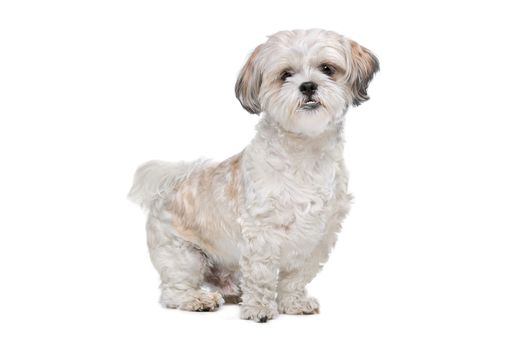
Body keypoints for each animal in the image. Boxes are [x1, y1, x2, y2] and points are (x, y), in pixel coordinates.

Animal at [129, 28, 378, 322]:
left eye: (327, 69)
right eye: (285, 74)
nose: (307, 86)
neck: (304, 152)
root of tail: (170, 183)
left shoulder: (318, 236)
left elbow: (295, 277)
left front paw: (293, 302)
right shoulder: (262, 232)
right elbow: (262, 273)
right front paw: (259, 308)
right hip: (183, 255)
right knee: (173, 290)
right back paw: (197, 299)